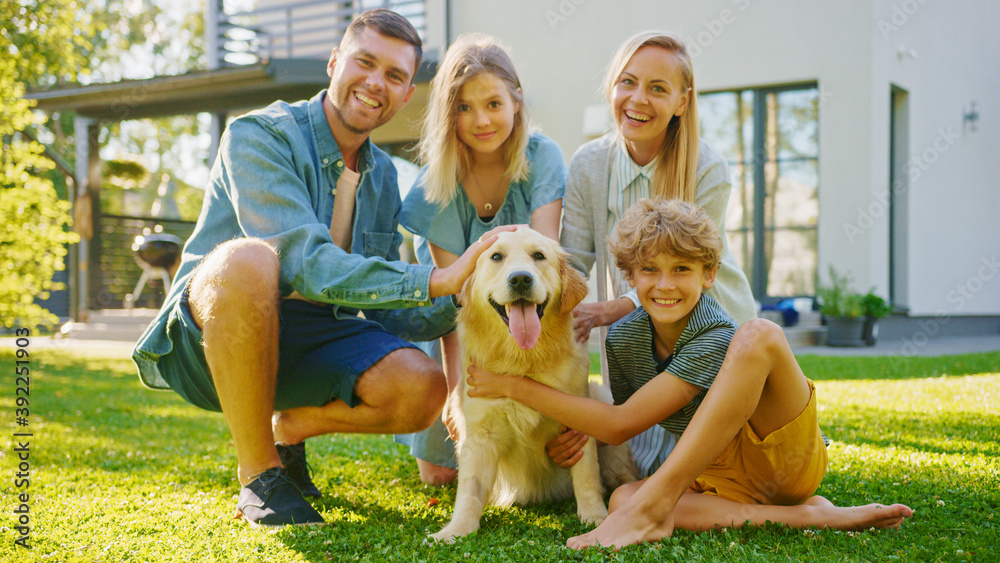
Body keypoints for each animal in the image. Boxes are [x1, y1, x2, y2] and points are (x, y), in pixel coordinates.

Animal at [428, 227, 632, 544]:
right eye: (496, 257)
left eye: (539, 256)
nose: (521, 279)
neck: (522, 360)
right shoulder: (479, 435)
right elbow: (470, 490)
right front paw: (456, 530)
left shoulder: (579, 422)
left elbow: (586, 475)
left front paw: (595, 517)